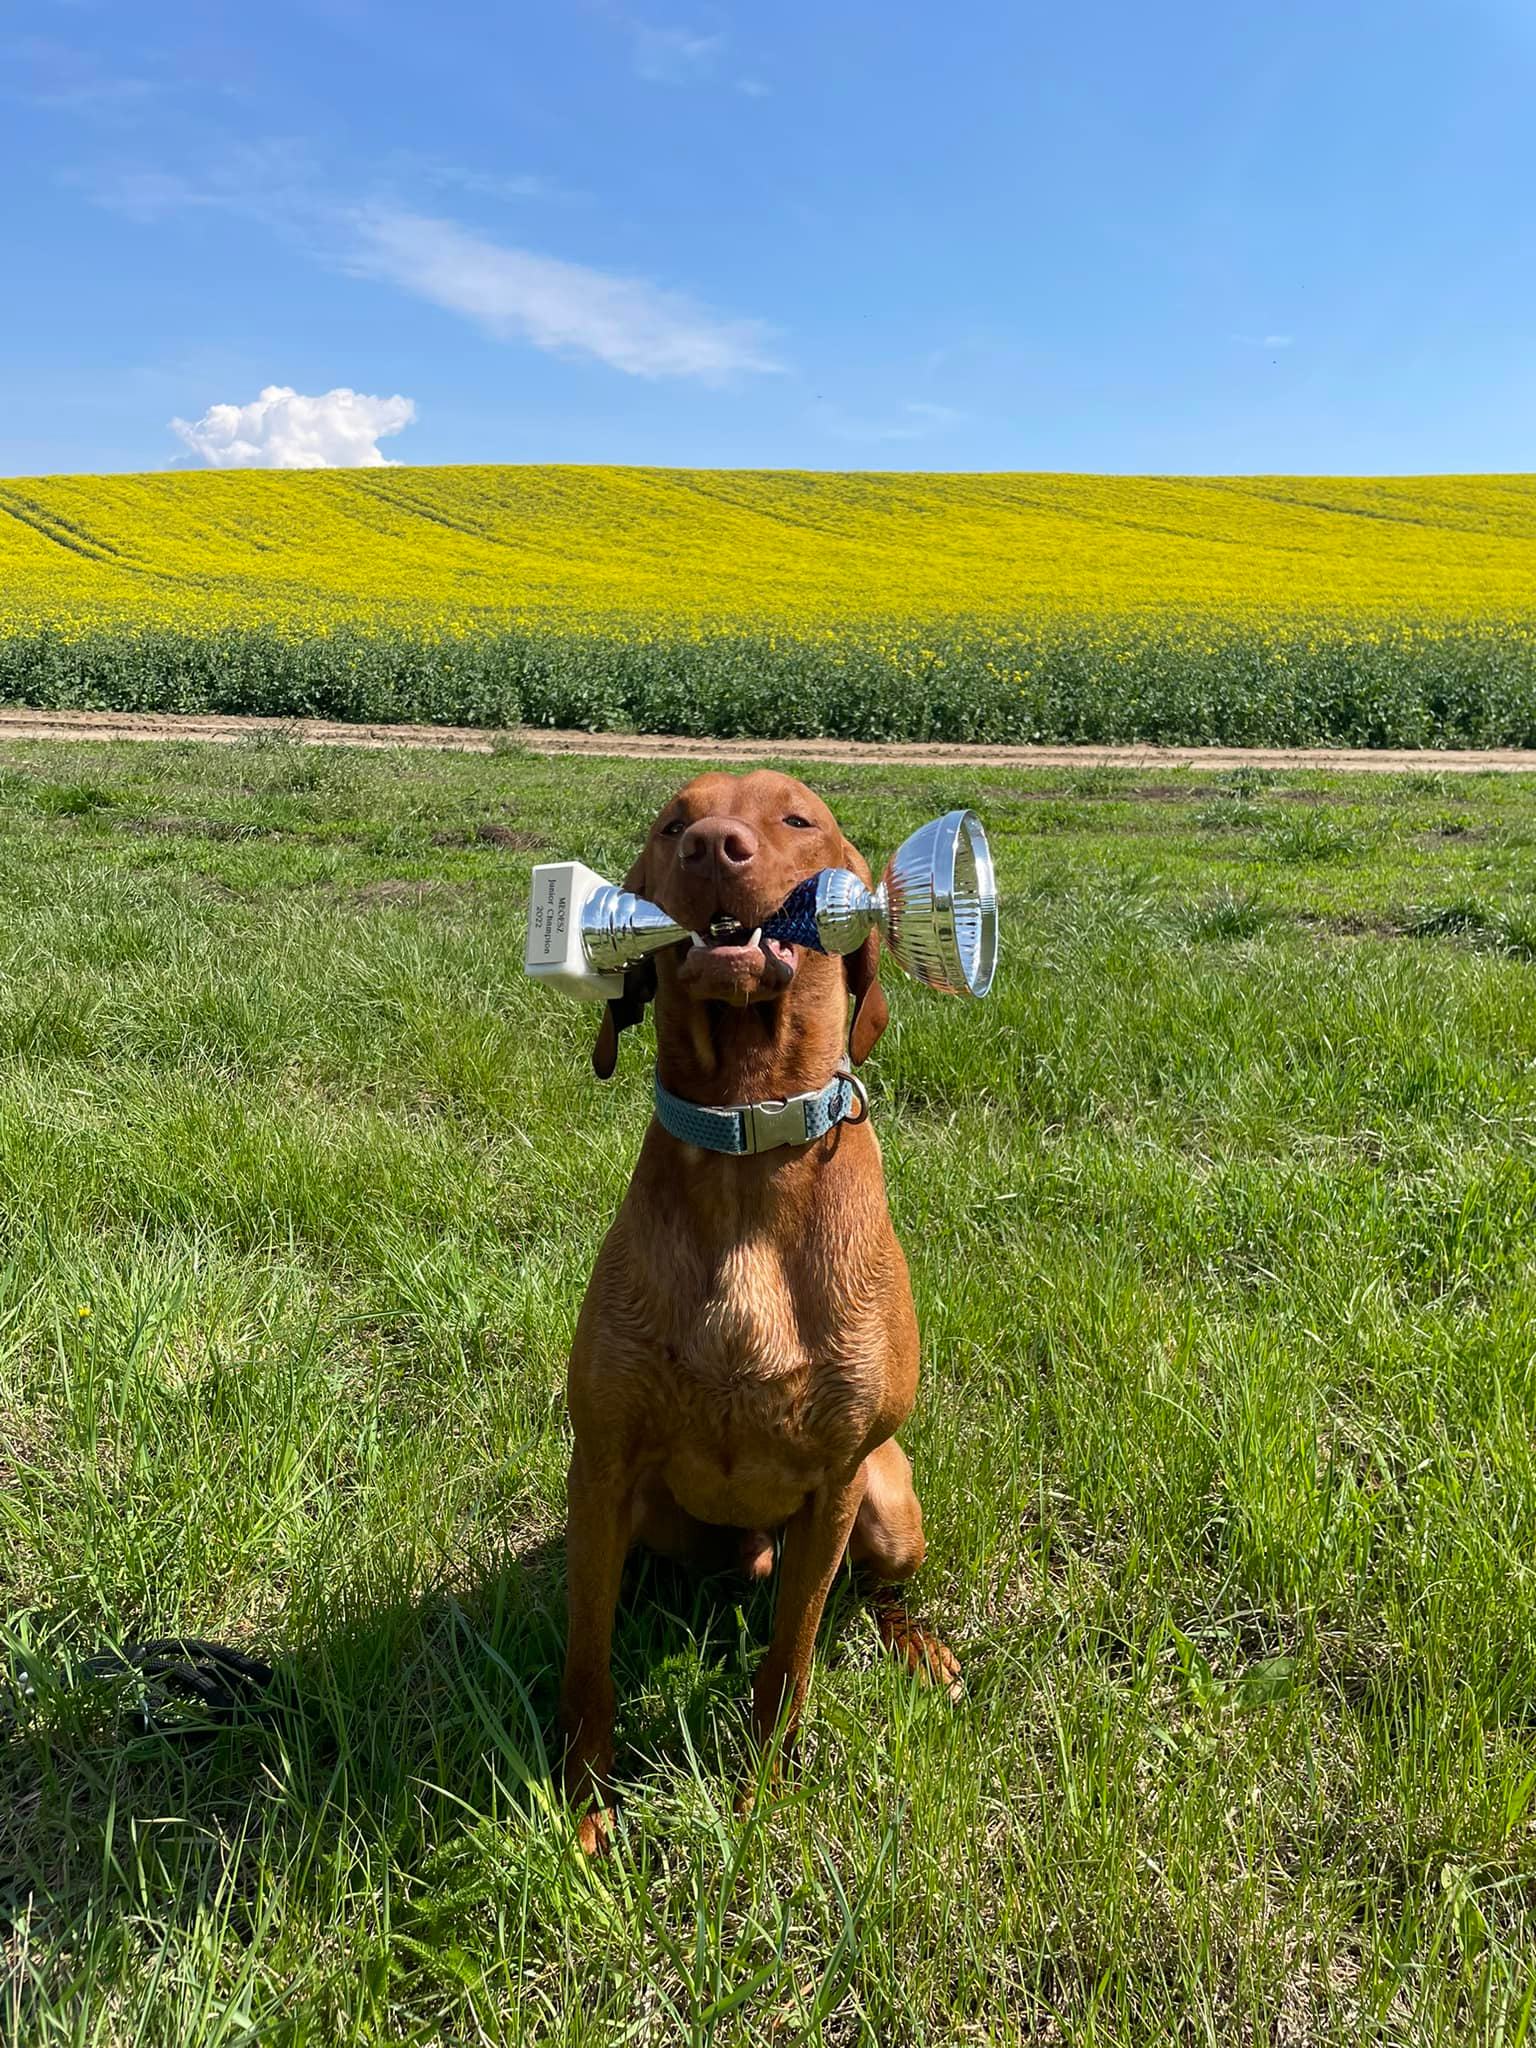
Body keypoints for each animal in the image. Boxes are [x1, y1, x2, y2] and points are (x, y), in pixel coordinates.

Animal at [559, 770, 959, 1852]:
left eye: (796, 818)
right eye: (671, 824)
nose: (713, 846)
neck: (745, 1137)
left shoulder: (836, 1482)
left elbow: (790, 1662)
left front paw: (761, 1800)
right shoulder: (601, 1466)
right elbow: (587, 1658)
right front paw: (581, 1805)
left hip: (888, 1505)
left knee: (874, 1593)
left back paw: (920, 1647)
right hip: (659, 1517)